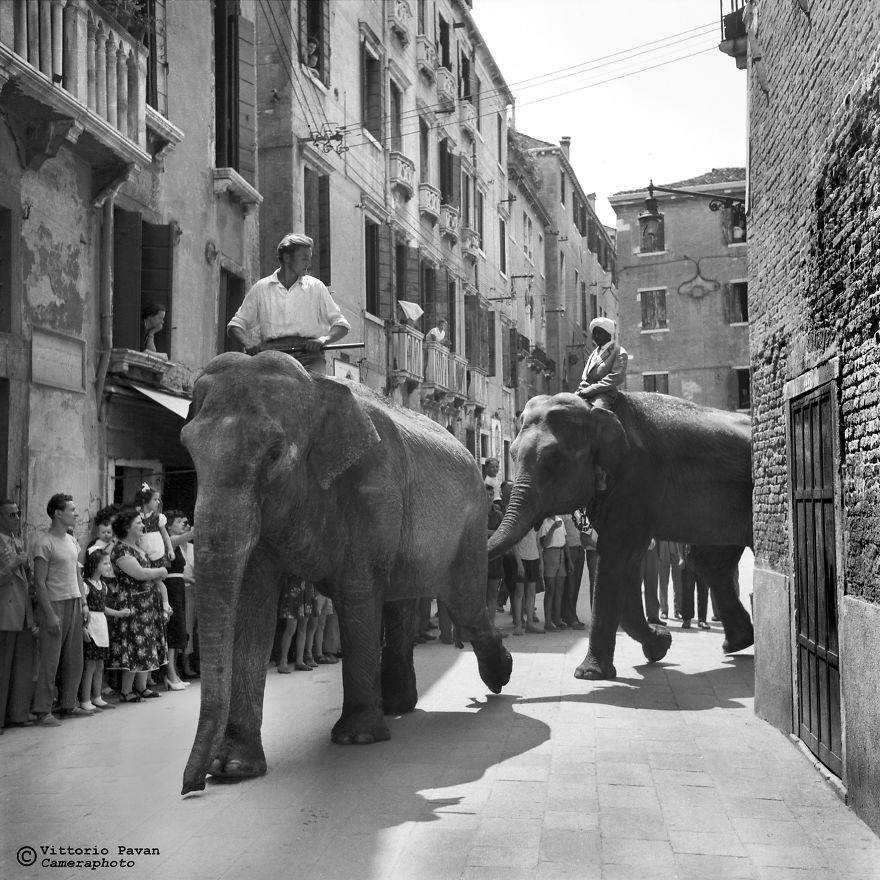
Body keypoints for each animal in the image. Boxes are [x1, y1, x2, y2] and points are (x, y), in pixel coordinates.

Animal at [179, 351, 511, 795]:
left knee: (467, 606)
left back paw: (499, 675)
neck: (315, 384)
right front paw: (234, 767)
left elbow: (357, 594)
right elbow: (252, 605)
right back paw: (399, 704)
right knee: (405, 605)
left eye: (274, 453)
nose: (191, 786)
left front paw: (357, 738)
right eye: (188, 449)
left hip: (469, 529)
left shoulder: (375, 487)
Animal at [487, 391, 754, 681]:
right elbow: (623, 562)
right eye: (512, 454)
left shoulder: (638, 477)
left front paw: (589, 674)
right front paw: (659, 645)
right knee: (706, 561)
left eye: (554, 459)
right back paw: (737, 643)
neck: (596, 410)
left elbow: (616, 557)